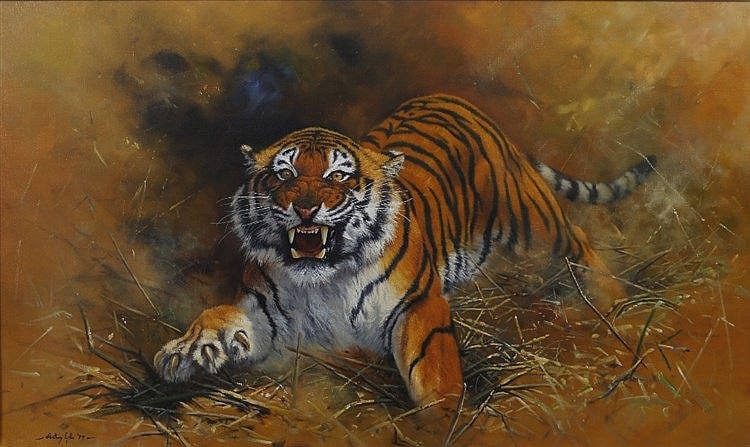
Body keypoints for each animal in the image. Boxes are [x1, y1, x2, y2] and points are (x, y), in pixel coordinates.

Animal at [154, 94, 655, 410]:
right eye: (284, 174)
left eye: (338, 176)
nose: (305, 206)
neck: (324, 279)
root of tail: (458, 101)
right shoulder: (267, 316)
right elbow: (216, 315)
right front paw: (186, 352)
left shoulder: (418, 308)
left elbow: (435, 375)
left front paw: (438, 422)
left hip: (533, 223)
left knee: (579, 240)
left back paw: (614, 303)